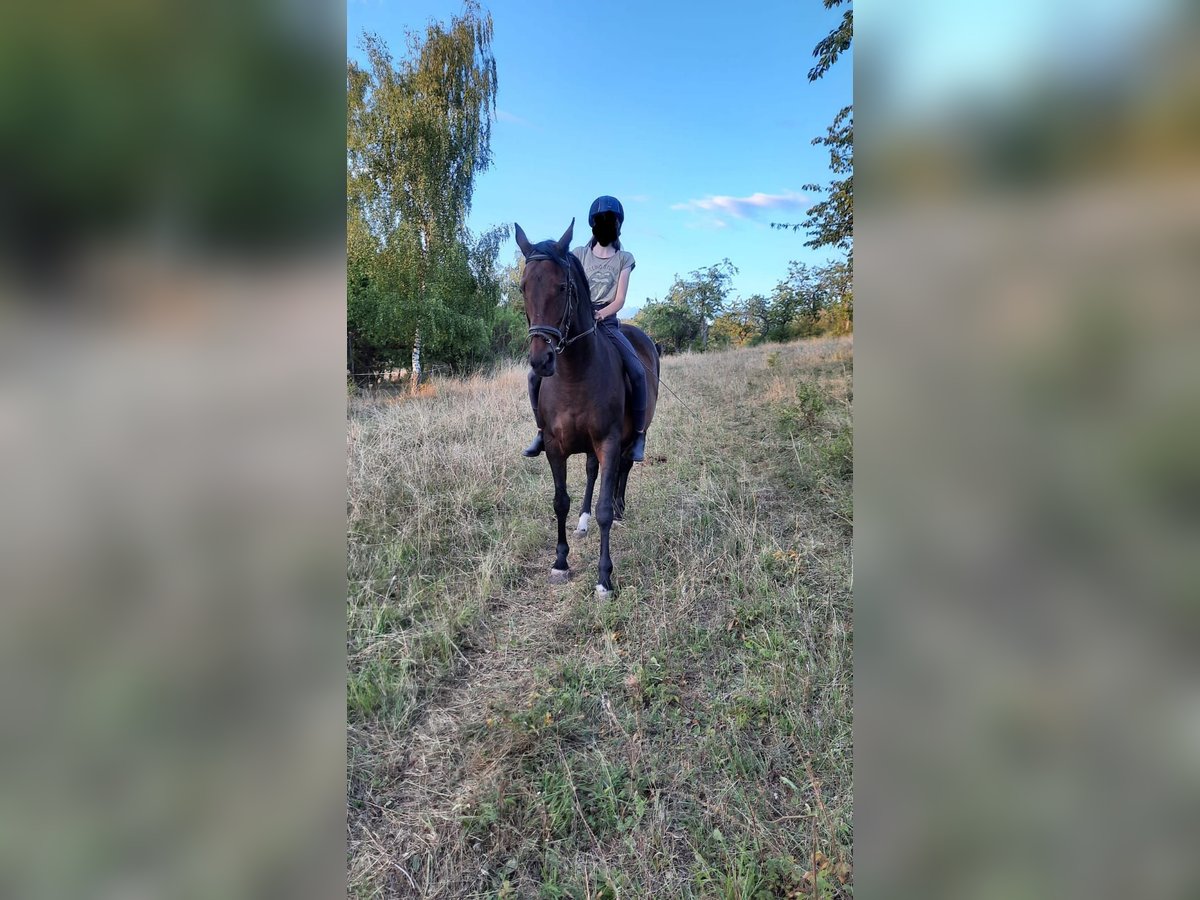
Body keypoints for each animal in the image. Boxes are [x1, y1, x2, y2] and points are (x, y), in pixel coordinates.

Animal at [516, 219, 667, 600]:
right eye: (523, 287)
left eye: (563, 286)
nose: (541, 361)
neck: (574, 374)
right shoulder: (554, 446)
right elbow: (560, 501)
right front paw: (560, 563)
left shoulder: (609, 442)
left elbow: (603, 509)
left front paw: (604, 578)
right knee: (590, 472)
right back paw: (582, 523)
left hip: (631, 436)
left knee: (624, 468)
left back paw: (620, 507)